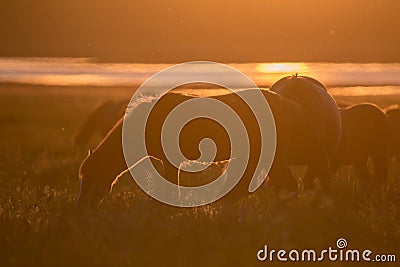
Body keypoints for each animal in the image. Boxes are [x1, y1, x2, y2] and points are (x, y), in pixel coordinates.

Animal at [76, 89, 306, 205]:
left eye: (90, 176)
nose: (80, 206)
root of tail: (289, 104)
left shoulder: (170, 161)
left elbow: (170, 188)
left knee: (289, 184)